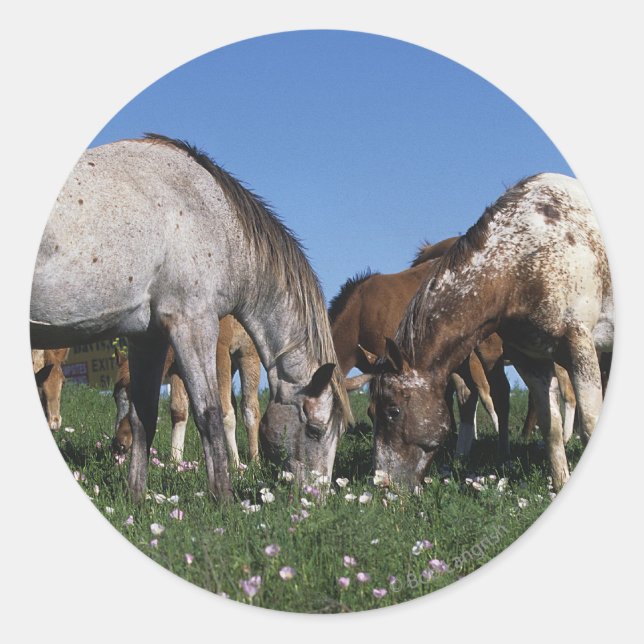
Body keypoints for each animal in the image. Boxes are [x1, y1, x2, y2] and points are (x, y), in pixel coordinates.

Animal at [112, 315, 261, 467]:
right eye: (114, 397)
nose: (118, 444)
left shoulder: (220, 349)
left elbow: (226, 412)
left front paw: (236, 466)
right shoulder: (177, 365)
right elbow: (179, 409)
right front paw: (175, 461)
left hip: (247, 351)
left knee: (249, 408)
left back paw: (254, 460)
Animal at [368, 173, 613, 492]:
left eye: (393, 410)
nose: (382, 483)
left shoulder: (579, 344)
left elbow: (591, 424)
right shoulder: (531, 359)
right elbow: (551, 429)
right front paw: (561, 485)